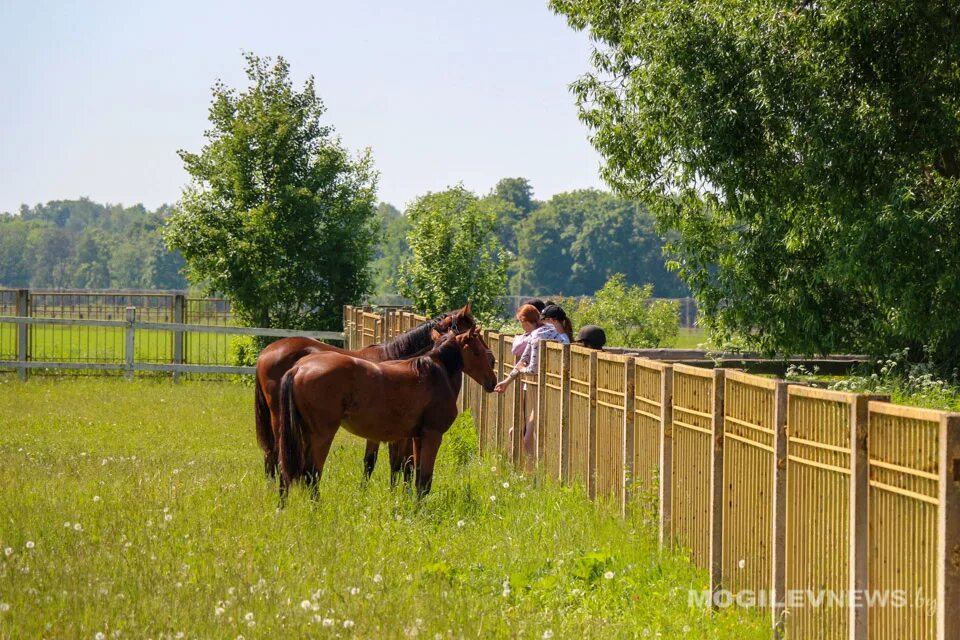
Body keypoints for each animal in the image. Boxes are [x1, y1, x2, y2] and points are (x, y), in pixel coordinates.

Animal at [256, 304, 478, 480]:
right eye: (471, 328)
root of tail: (266, 353)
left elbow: (397, 464)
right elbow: (376, 462)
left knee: (272, 454)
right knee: (277, 454)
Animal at [276, 330, 496, 500]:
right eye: (477, 351)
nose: (492, 381)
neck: (434, 373)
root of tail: (299, 368)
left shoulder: (417, 437)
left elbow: (414, 475)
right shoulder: (432, 436)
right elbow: (424, 480)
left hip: (302, 434)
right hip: (322, 435)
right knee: (311, 474)